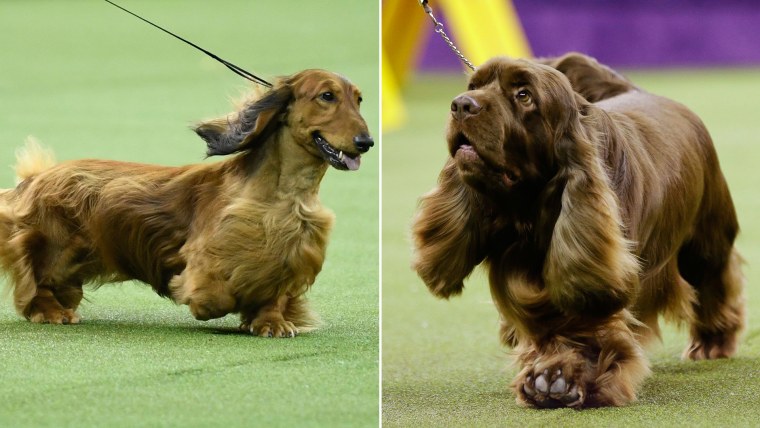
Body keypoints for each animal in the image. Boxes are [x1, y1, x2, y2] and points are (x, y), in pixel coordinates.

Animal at [0, 69, 374, 338]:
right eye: (327, 96)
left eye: (359, 99)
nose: (366, 142)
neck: (286, 194)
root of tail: (33, 179)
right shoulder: (207, 258)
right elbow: (216, 296)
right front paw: (211, 306)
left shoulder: (292, 253)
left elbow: (275, 293)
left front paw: (271, 322)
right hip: (57, 249)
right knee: (35, 284)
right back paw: (51, 312)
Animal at [412, 53, 744, 408]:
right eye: (474, 85)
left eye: (524, 95)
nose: (461, 104)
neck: (531, 216)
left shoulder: (598, 271)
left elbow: (590, 329)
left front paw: (562, 378)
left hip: (705, 240)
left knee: (715, 279)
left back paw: (712, 341)